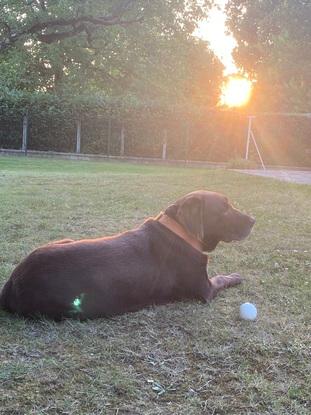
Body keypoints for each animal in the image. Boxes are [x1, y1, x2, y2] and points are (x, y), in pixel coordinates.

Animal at [0, 190, 256, 320]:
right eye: (225, 208)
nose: (253, 220)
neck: (180, 230)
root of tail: (12, 283)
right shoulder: (205, 290)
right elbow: (222, 278)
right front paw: (236, 276)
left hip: (62, 240)